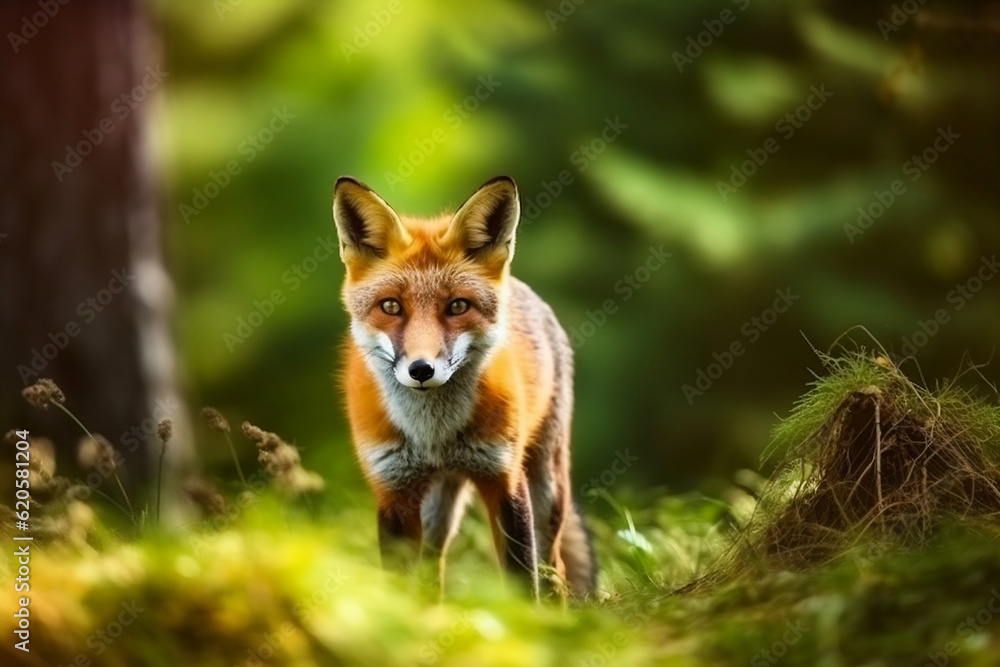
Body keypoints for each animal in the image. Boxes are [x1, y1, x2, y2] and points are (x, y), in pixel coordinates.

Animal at [332, 174, 596, 598]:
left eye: (457, 306)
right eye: (391, 307)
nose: (421, 369)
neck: (435, 435)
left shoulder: (503, 479)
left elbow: (522, 581)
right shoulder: (394, 490)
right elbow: (400, 588)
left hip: (546, 486)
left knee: (553, 567)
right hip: (435, 507)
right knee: (432, 565)